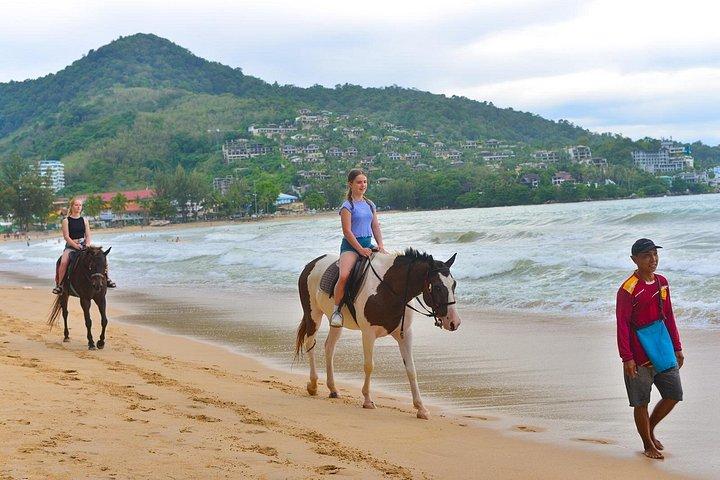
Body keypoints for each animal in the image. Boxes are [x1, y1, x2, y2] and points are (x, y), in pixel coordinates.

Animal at [295, 248, 461, 419]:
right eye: (437, 287)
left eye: (454, 284)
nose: (454, 322)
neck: (389, 289)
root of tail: (311, 264)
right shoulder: (368, 334)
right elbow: (369, 366)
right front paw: (368, 400)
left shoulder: (405, 335)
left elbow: (411, 369)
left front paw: (421, 408)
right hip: (313, 315)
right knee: (310, 344)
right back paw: (313, 385)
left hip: (335, 324)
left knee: (329, 348)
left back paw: (333, 389)